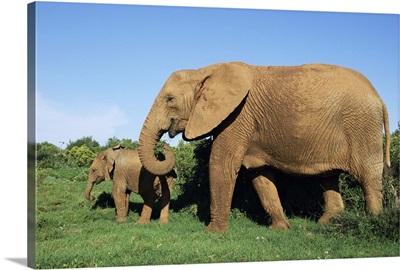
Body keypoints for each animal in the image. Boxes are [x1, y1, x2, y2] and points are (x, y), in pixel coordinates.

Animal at [138, 61, 390, 232]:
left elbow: (221, 163)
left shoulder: (238, 116)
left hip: (362, 125)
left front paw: (213, 232)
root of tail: (379, 97)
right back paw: (325, 224)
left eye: (170, 99)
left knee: (368, 176)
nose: (164, 146)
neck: (204, 71)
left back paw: (374, 221)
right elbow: (259, 176)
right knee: (329, 176)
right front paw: (280, 229)